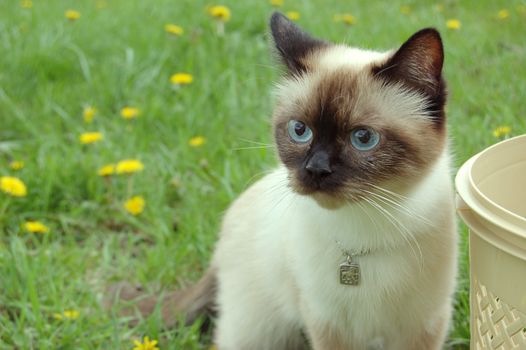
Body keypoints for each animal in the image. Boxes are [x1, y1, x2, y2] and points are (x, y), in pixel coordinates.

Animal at [111, 11, 458, 350]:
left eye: (363, 138)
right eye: (299, 130)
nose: (316, 170)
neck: (363, 234)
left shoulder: (424, 325)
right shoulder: (327, 324)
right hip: (259, 333)